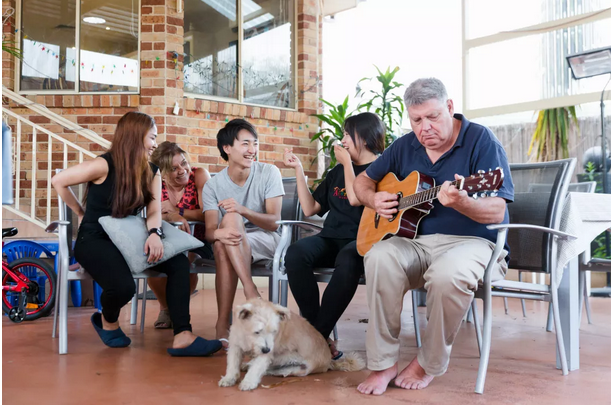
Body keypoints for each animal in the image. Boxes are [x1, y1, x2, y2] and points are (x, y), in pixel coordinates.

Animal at [218, 298, 365, 391]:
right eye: (257, 332)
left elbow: (256, 367)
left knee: (268, 369)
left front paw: (248, 382)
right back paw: (246, 365)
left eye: (274, 332)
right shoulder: (235, 347)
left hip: (294, 366)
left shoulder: (266, 355)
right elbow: (232, 365)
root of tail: (329, 361)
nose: (266, 349)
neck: (247, 337)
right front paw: (229, 378)